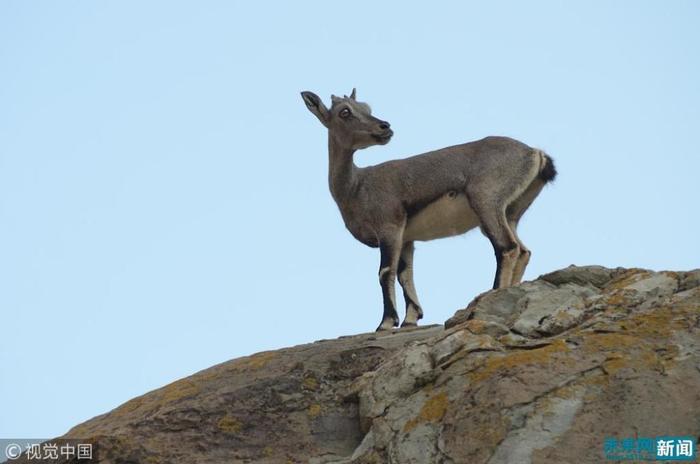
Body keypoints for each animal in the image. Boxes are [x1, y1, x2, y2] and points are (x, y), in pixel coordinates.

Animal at [300, 89, 556, 332]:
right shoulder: (406, 238)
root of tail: (534, 153)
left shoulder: (389, 228)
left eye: (364, 107)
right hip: (510, 213)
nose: (385, 127)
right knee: (523, 250)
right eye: (345, 112)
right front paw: (410, 320)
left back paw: (491, 296)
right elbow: (405, 274)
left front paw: (386, 323)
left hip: (486, 203)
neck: (356, 186)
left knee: (507, 247)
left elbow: (385, 271)